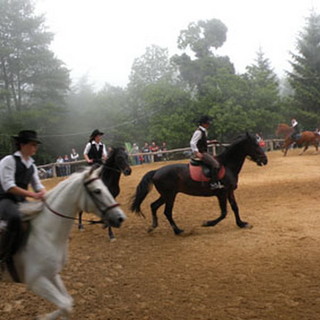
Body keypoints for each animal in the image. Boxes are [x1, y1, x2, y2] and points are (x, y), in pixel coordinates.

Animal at [1, 165, 126, 320]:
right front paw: (43, 317)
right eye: (97, 191)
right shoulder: (36, 281)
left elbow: (67, 303)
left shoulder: (52, 274)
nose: (120, 218)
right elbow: (65, 305)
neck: (46, 234)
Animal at [130, 132, 268, 235]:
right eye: (256, 146)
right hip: (170, 195)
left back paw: (153, 226)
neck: (227, 165)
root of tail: (156, 171)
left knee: (154, 206)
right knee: (167, 212)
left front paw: (241, 223)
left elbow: (235, 207)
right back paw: (178, 231)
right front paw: (208, 223)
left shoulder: (229, 191)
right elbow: (224, 213)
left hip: (166, 195)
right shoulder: (222, 193)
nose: (265, 160)